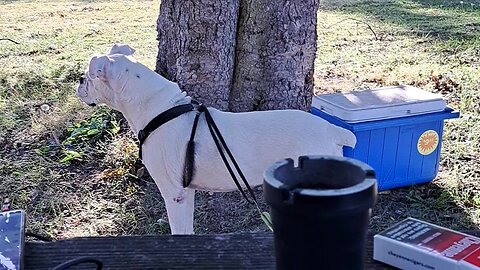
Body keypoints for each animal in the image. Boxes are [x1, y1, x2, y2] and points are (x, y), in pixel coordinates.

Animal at [76, 43, 356, 234]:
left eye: (89, 76)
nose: (79, 80)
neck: (159, 108)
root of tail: (333, 130)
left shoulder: (174, 195)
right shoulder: (186, 193)